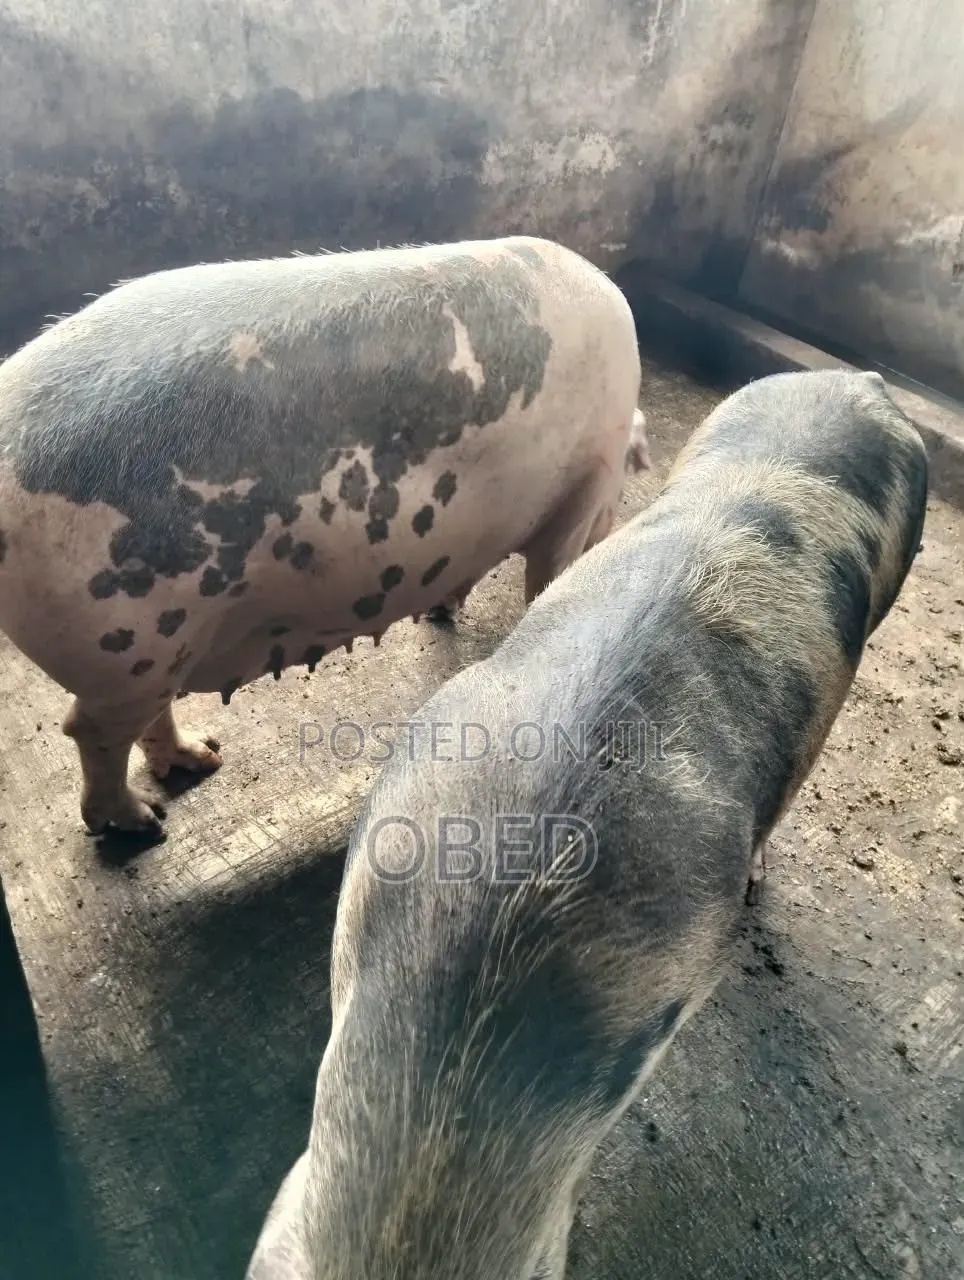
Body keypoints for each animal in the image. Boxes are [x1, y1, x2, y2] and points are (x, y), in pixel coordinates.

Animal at [0, 236, 650, 839]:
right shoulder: (585, 487)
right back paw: (147, 823)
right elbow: (548, 577)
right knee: (90, 732)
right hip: (128, 649)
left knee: (141, 722)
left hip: (151, 660)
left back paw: (205, 759)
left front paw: (442, 610)